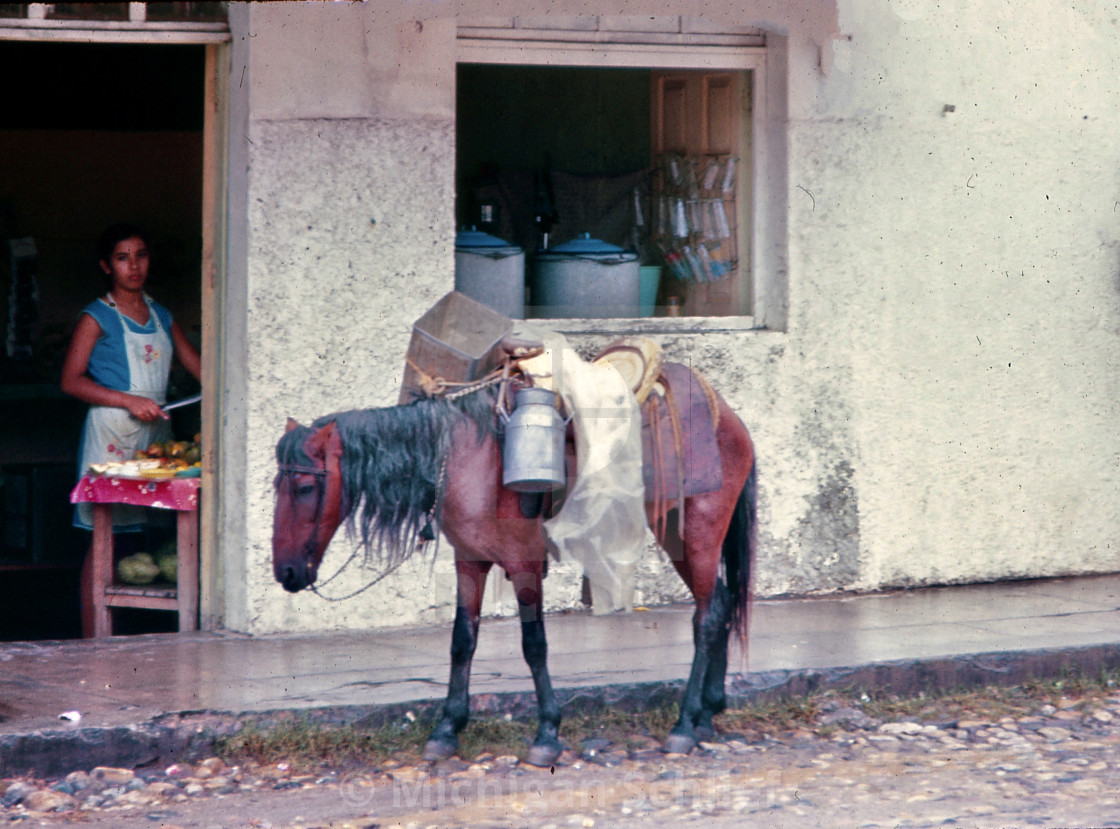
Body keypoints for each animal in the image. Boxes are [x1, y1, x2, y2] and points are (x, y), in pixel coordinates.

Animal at [272, 365, 757, 766]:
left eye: (303, 487)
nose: (287, 573)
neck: (467, 458)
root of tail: (729, 417)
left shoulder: (523, 563)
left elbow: (534, 644)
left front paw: (547, 733)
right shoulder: (470, 561)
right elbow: (462, 641)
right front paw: (447, 728)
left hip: (698, 534)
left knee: (707, 617)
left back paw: (685, 723)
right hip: (677, 537)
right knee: (718, 602)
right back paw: (708, 714)